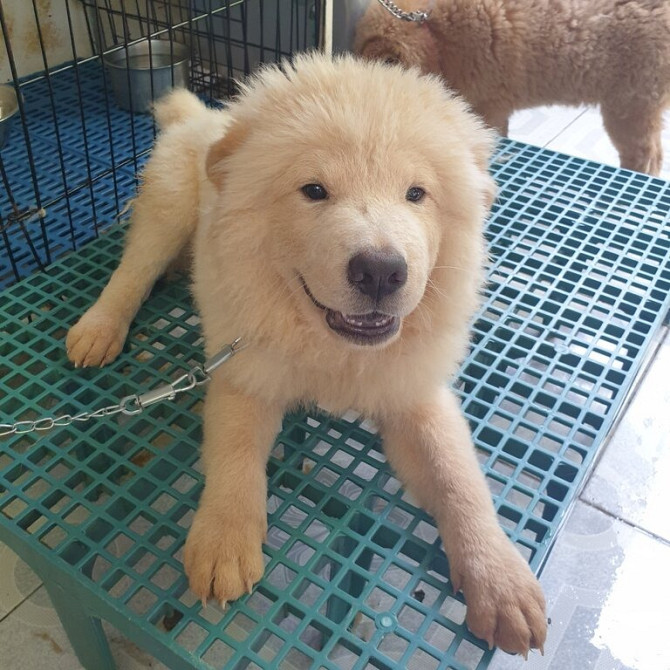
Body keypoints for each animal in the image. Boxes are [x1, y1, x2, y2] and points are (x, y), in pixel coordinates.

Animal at [65, 55, 548, 660]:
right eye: (313, 190)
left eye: (416, 194)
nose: (381, 271)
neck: (332, 347)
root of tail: (208, 116)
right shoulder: (244, 369)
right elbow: (233, 452)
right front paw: (223, 544)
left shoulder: (414, 392)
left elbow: (458, 477)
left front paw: (502, 584)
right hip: (168, 206)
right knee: (131, 271)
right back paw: (98, 330)